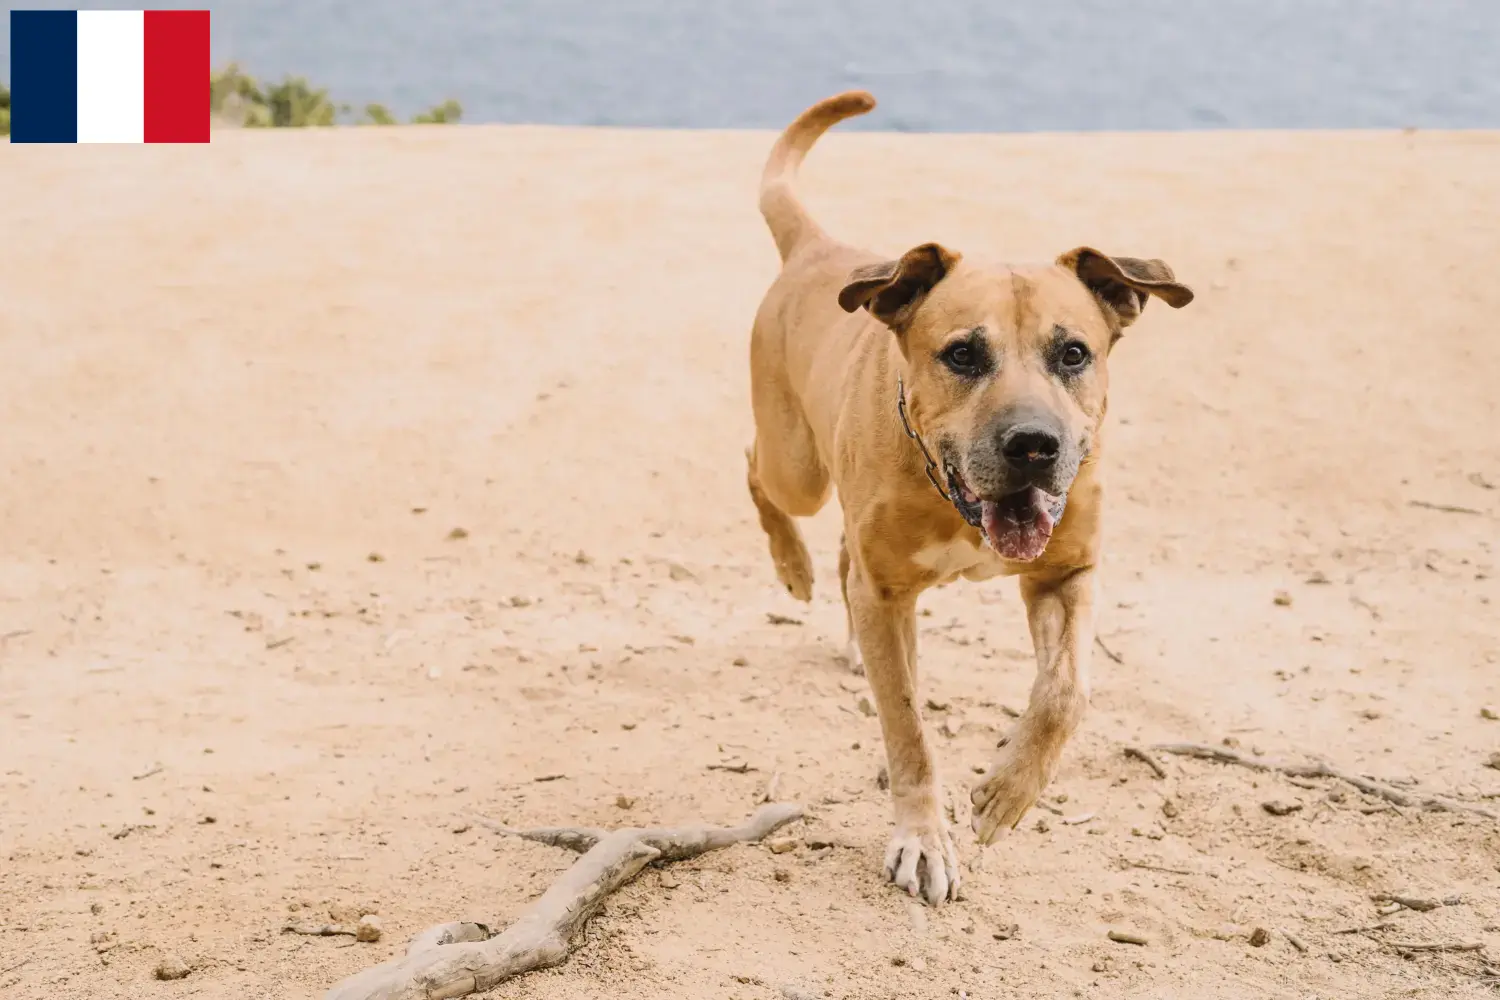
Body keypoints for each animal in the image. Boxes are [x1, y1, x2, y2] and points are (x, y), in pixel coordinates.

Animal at [747, 93, 1194, 905]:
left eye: (1073, 352)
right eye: (962, 353)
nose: (1034, 446)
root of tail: (817, 248)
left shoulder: (1065, 575)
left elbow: (1066, 693)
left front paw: (1009, 791)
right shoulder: (889, 594)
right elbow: (909, 732)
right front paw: (924, 839)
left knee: (844, 555)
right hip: (796, 463)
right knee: (760, 476)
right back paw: (791, 565)